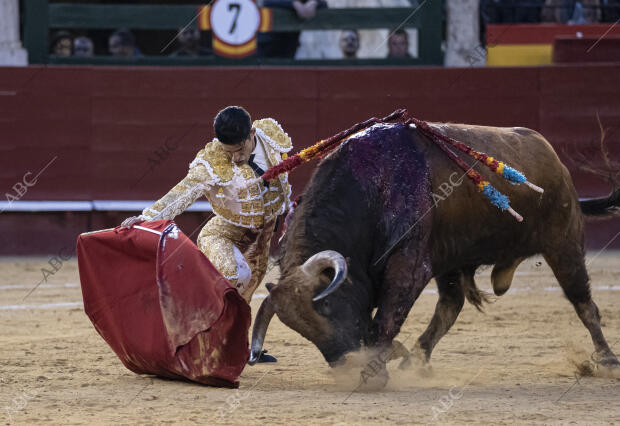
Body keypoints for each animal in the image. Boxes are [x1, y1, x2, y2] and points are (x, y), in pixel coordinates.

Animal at [248, 118, 620, 384]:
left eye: (325, 305)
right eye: (300, 328)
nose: (347, 366)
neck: (371, 185)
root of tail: (554, 158)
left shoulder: (410, 264)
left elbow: (386, 317)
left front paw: (373, 370)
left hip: (564, 243)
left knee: (584, 304)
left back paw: (607, 360)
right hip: (452, 258)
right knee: (450, 306)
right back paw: (416, 359)